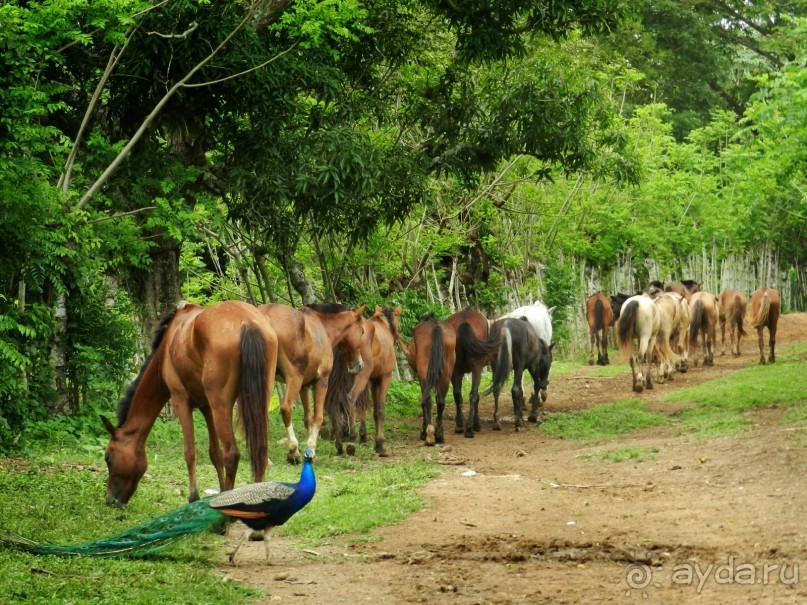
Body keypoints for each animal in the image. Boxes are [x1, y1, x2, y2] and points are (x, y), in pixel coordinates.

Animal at [102, 300, 278, 504]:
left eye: (108, 457)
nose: (110, 500)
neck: (166, 347)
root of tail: (247, 323)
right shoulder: (206, 407)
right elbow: (214, 453)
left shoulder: (180, 400)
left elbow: (190, 452)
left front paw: (194, 497)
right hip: (256, 403)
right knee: (259, 453)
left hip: (221, 406)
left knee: (232, 455)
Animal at [258, 302, 366, 462]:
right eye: (362, 331)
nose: (360, 365)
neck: (322, 328)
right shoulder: (321, 381)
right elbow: (318, 417)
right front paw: (310, 449)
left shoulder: (304, 386)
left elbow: (308, 418)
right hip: (293, 379)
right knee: (286, 408)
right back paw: (293, 450)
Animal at [326, 304, 408, 456]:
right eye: (399, 324)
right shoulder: (384, 377)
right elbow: (379, 410)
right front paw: (380, 443)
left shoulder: (373, 380)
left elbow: (370, 409)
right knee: (349, 400)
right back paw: (351, 439)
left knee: (334, 405)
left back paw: (339, 443)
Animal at [408, 316, 458, 444]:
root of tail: (436, 326)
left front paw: (423, 431)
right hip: (446, 373)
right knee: (440, 401)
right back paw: (439, 435)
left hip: (423, 372)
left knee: (427, 400)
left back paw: (428, 433)